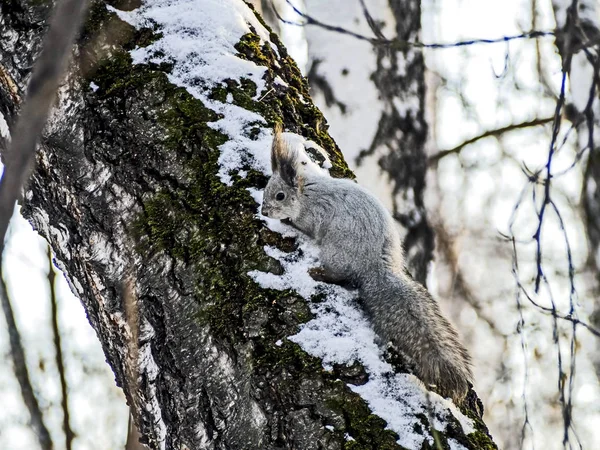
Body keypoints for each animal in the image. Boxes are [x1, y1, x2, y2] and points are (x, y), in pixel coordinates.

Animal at [262, 125, 474, 402]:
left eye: (280, 196)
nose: (264, 211)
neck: (307, 192)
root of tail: (375, 267)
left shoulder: (312, 216)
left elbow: (303, 226)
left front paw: (286, 222)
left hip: (336, 251)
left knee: (340, 275)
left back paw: (320, 273)